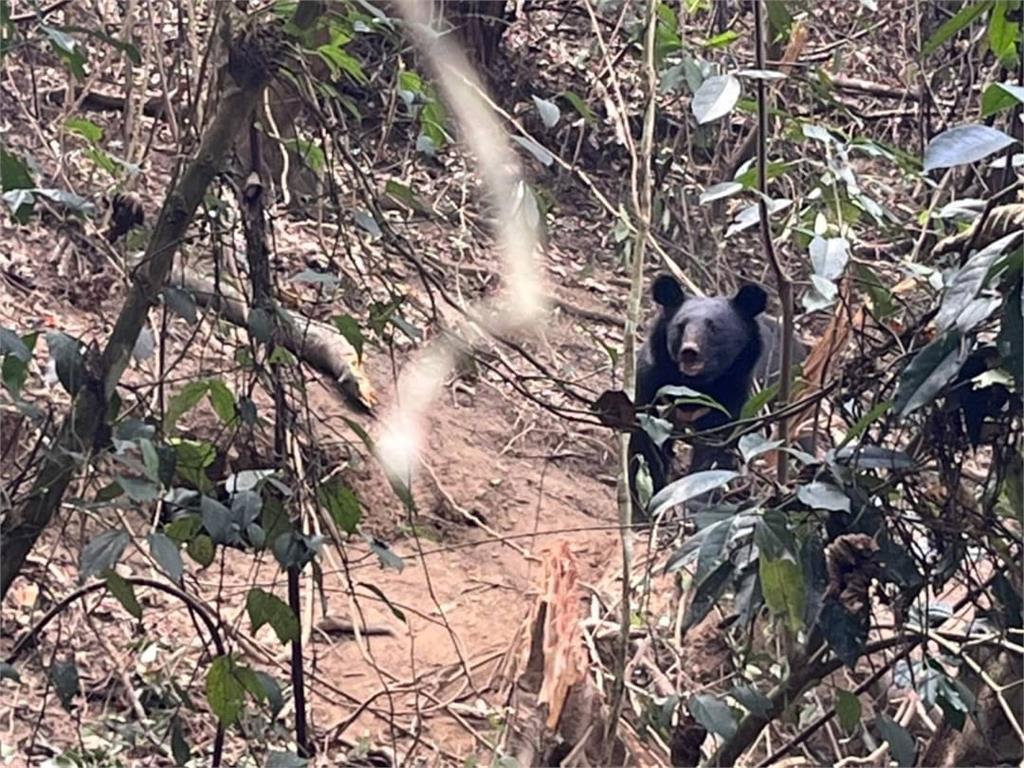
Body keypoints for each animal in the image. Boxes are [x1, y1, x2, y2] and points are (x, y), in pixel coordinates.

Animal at [622, 274, 798, 514]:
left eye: (714, 329)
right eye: (680, 326)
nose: (689, 352)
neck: (695, 384)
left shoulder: (733, 396)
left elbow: (715, 450)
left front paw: (696, 501)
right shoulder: (651, 386)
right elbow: (646, 445)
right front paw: (647, 503)